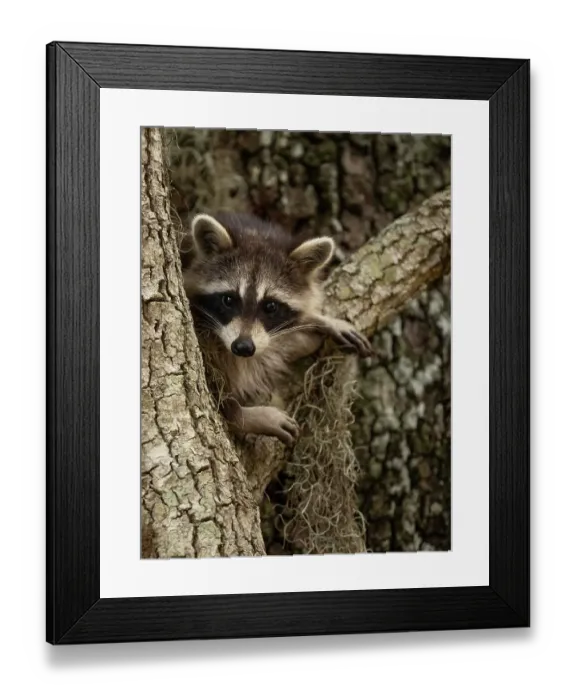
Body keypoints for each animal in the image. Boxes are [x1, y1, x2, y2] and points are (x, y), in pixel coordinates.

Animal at [180, 211, 372, 446]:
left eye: (270, 306)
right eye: (228, 300)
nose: (243, 347)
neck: (255, 231)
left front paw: (319, 319)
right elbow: (213, 374)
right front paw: (241, 415)